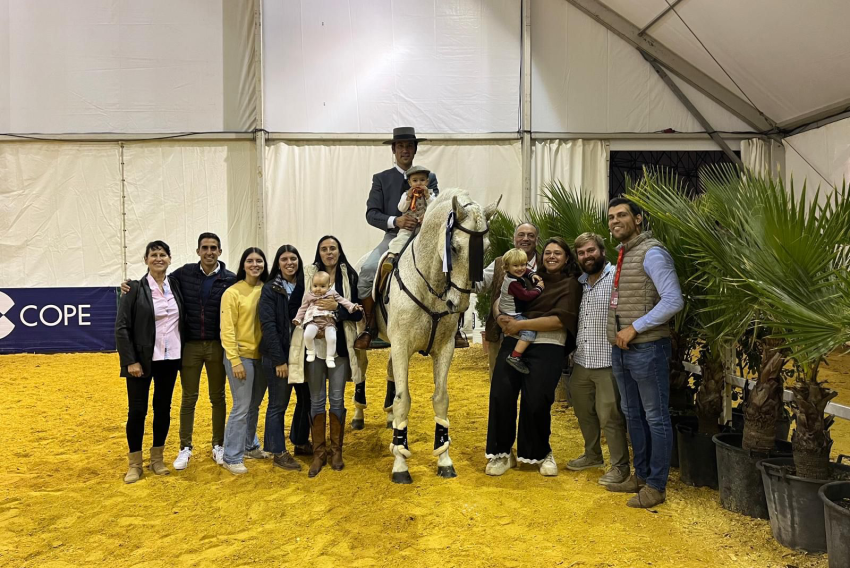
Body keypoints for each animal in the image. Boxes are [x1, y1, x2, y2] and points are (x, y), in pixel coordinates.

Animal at [376, 189, 496, 482]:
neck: (430, 286)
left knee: (390, 372)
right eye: (454, 248)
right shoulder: (401, 346)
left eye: (486, 248)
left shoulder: (444, 348)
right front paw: (400, 463)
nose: (459, 304)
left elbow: (441, 399)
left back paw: (389, 419)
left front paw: (444, 459)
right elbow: (404, 399)